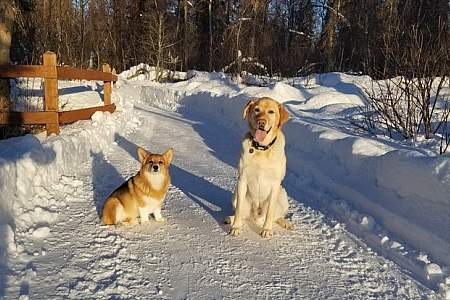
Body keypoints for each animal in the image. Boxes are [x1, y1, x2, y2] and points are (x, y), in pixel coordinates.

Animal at [227, 97, 290, 238]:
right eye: (257, 110)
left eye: (271, 112)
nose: (261, 122)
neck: (261, 148)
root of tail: (255, 217)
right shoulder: (242, 180)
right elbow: (239, 209)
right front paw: (236, 227)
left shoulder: (275, 184)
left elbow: (270, 212)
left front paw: (267, 230)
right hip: (235, 194)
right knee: (243, 215)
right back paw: (230, 219)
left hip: (282, 194)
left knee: (275, 216)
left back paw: (285, 223)